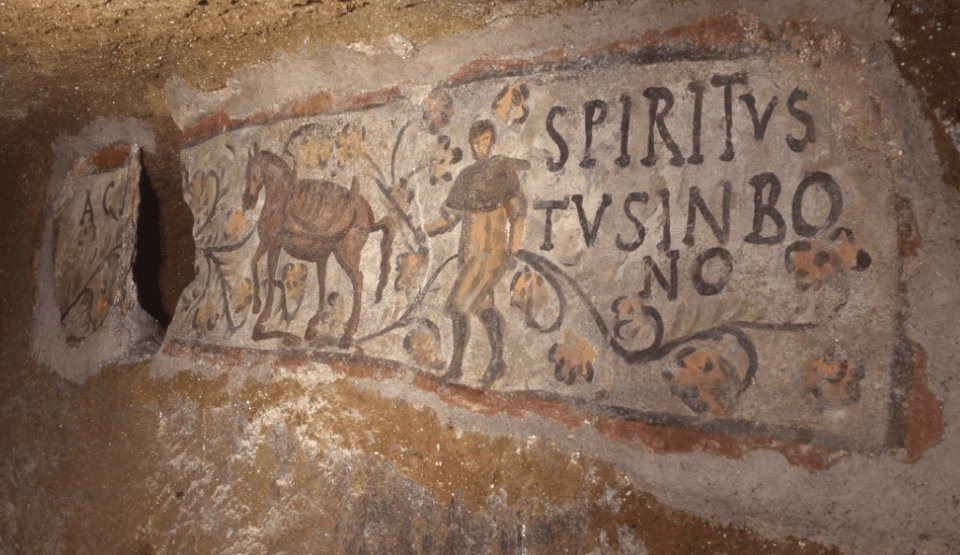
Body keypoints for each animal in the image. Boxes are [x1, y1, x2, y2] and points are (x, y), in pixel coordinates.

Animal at [244, 146, 394, 350]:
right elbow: (253, 262)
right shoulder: (268, 243)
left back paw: (347, 335)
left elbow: (271, 278)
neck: (279, 200)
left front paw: (262, 319)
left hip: (345, 254)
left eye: (252, 172)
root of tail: (369, 221)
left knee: (358, 280)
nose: (248, 200)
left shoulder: (275, 245)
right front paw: (256, 305)